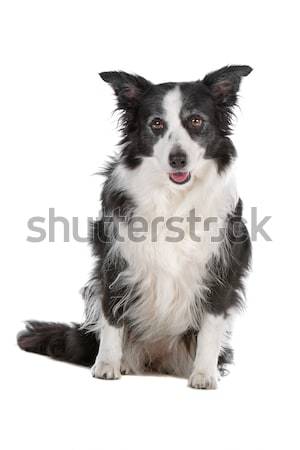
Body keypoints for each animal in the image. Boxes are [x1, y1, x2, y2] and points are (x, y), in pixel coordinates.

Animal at [18, 65, 252, 388]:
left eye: (196, 121)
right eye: (156, 123)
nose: (178, 159)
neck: (172, 196)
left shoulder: (222, 267)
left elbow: (211, 325)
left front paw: (204, 373)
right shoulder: (117, 261)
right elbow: (113, 318)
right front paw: (107, 365)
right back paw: (125, 362)